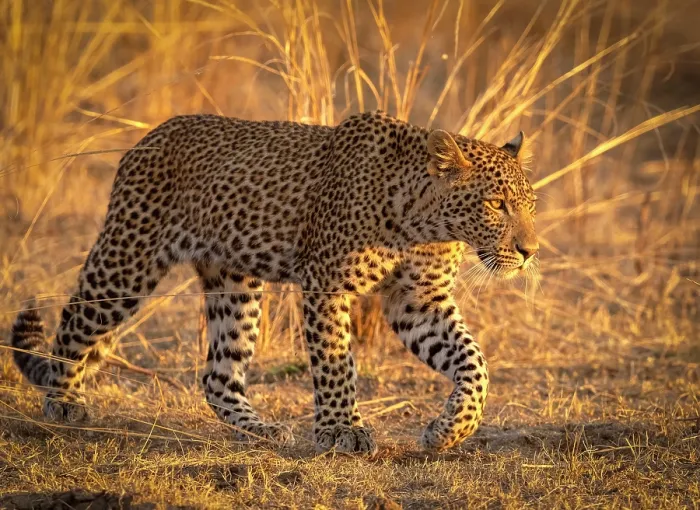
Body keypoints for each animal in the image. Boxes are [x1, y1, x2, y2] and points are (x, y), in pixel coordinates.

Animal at [11, 110, 538, 454]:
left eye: (530, 205)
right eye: (496, 204)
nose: (530, 251)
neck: (425, 225)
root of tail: (148, 137)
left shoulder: (418, 300)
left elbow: (474, 363)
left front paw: (449, 430)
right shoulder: (326, 283)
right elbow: (336, 363)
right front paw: (341, 430)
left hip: (234, 284)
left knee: (217, 374)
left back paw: (261, 431)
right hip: (127, 261)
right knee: (74, 322)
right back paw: (63, 401)